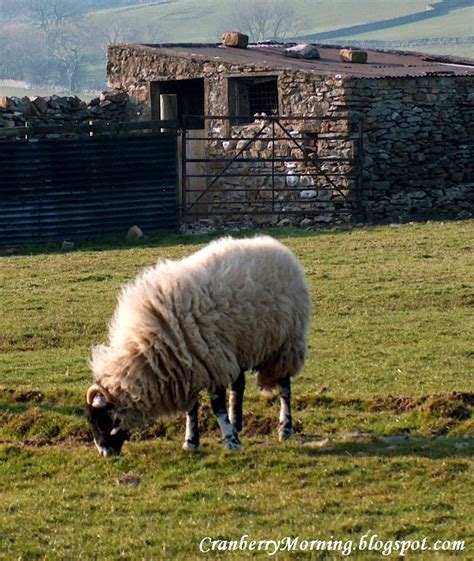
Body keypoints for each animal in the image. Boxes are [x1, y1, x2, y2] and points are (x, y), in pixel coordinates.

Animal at [86, 234, 312, 458]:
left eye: (103, 422)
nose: (104, 453)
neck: (147, 351)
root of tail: (275, 246)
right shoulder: (189, 368)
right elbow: (191, 409)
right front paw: (191, 441)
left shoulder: (211, 361)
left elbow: (217, 406)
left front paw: (230, 442)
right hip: (239, 347)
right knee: (238, 386)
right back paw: (236, 424)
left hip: (286, 344)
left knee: (284, 388)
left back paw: (285, 429)